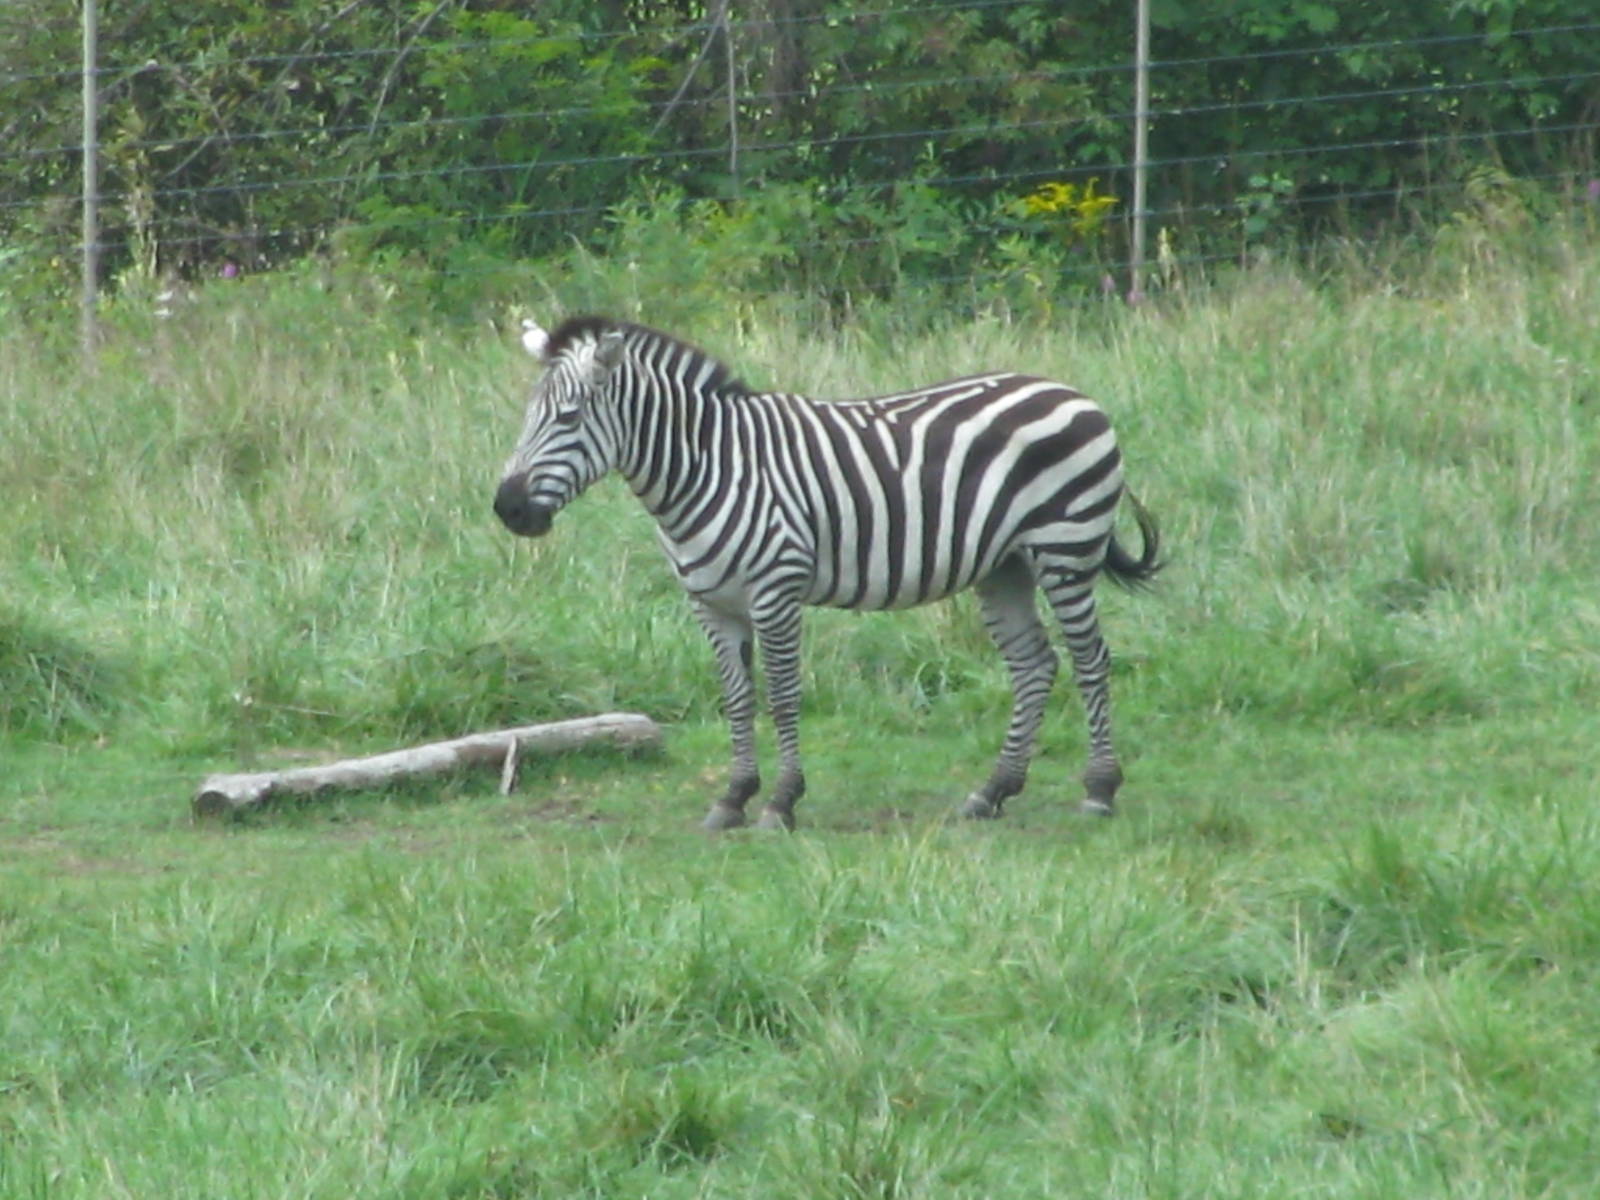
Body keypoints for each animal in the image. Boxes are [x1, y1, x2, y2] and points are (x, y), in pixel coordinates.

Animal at [493, 316, 1161, 831]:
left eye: (569, 417)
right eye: (527, 416)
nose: (508, 509)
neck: (709, 465)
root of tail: (1067, 389)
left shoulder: (775, 591)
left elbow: (784, 696)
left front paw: (781, 802)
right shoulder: (711, 603)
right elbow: (737, 699)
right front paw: (733, 797)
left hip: (1065, 548)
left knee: (1090, 659)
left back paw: (1100, 789)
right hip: (1005, 565)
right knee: (1034, 665)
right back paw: (995, 790)